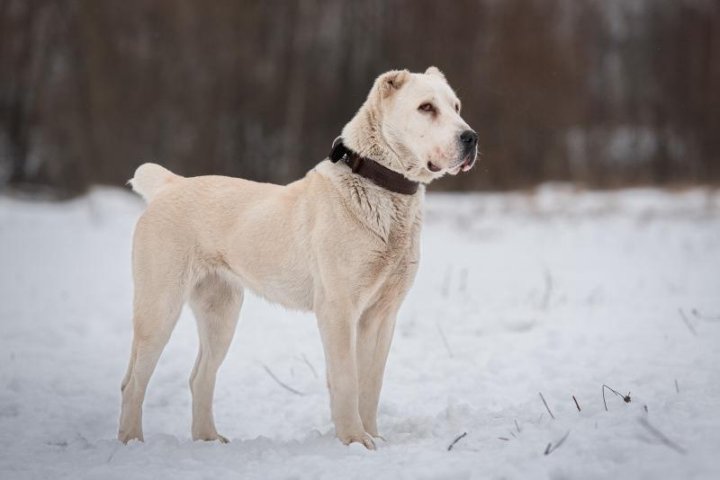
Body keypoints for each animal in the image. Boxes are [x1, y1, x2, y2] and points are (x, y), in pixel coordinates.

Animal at [118, 65, 478, 448]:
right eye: (426, 108)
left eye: (456, 107)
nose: (471, 137)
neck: (383, 188)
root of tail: (170, 185)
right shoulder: (338, 309)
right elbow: (347, 379)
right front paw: (354, 440)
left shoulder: (382, 315)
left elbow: (371, 383)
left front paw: (375, 438)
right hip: (159, 308)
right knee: (133, 382)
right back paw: (131, 442)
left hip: (221, 312)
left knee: (200, 376)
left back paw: (208, 440)